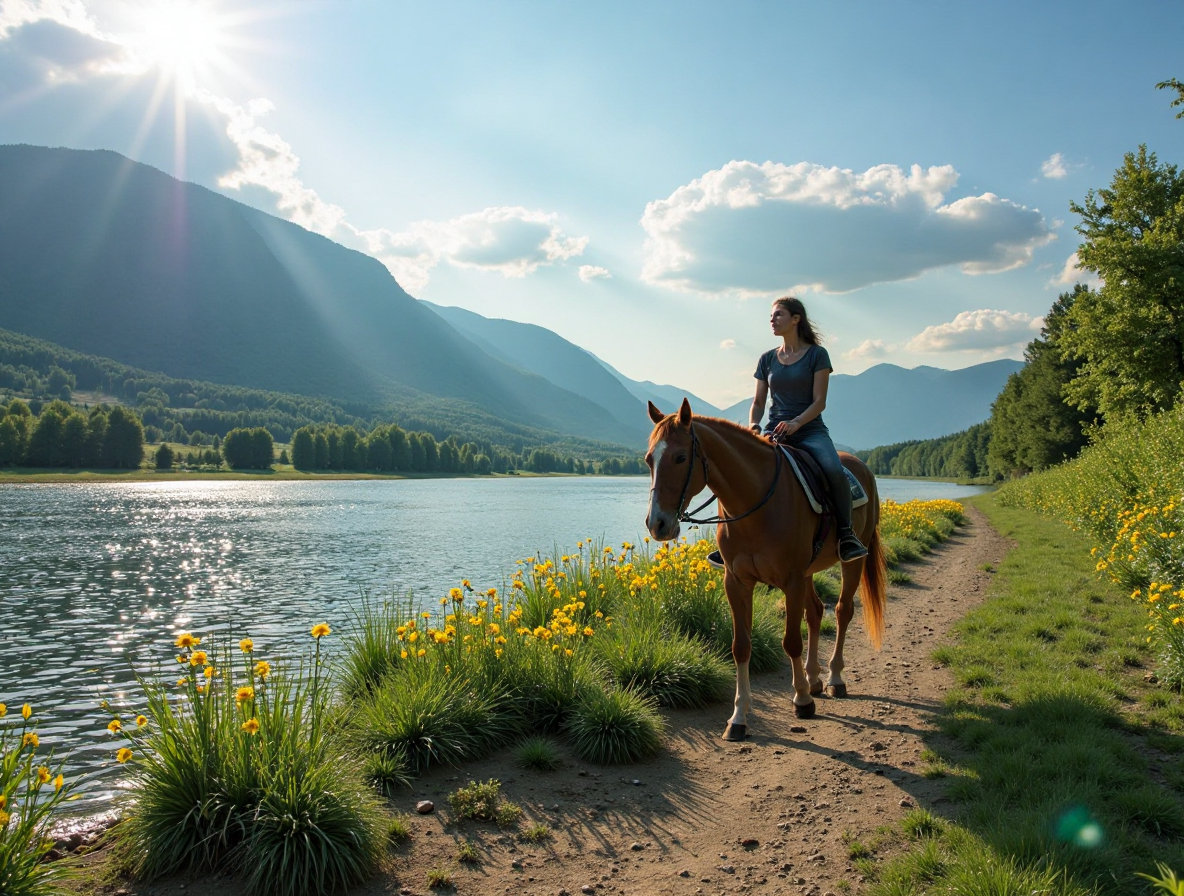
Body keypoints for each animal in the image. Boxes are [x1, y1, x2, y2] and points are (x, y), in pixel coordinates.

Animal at [644, 398, 887, 741]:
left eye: (680, 457)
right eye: (649, 459)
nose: (657, 524)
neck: (755, 504)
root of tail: (861, 466)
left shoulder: (792, 580)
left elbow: (791, 641)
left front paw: (802, 701)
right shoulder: (736, 582)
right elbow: (740, 647)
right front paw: (738, 718)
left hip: (852, 561)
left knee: (842, 611)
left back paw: (834, 678)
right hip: (810, 571)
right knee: (815, 612)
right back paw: (814, 679)